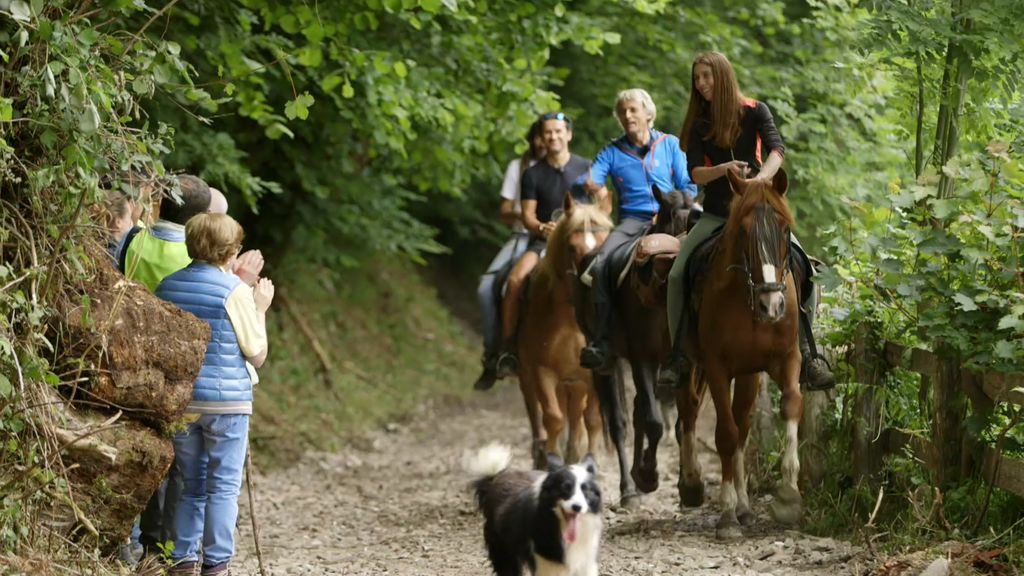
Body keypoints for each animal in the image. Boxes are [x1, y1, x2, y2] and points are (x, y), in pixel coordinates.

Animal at [516, 192, 610, 467]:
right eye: (572, 248)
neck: (570, 322)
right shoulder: (542, 370)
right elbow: (553, 417)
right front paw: (552, 459)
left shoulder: (593, 374)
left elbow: (592, 419)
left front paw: (588, 459)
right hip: (528, 374)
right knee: (535, 409)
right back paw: (541, 451)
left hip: (576, 383)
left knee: (576, 413)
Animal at [675, 167, 802, 537]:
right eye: (744, 232)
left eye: (784, 229)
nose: (772, 305)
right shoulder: (718, 368)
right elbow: (726, 434)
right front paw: (727, 514)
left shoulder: (786, 358)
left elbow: (790, 405)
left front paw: (789, 495)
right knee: (690, 412)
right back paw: (698, 488)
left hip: (749, 374)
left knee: (744, 426)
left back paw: (746, 507)